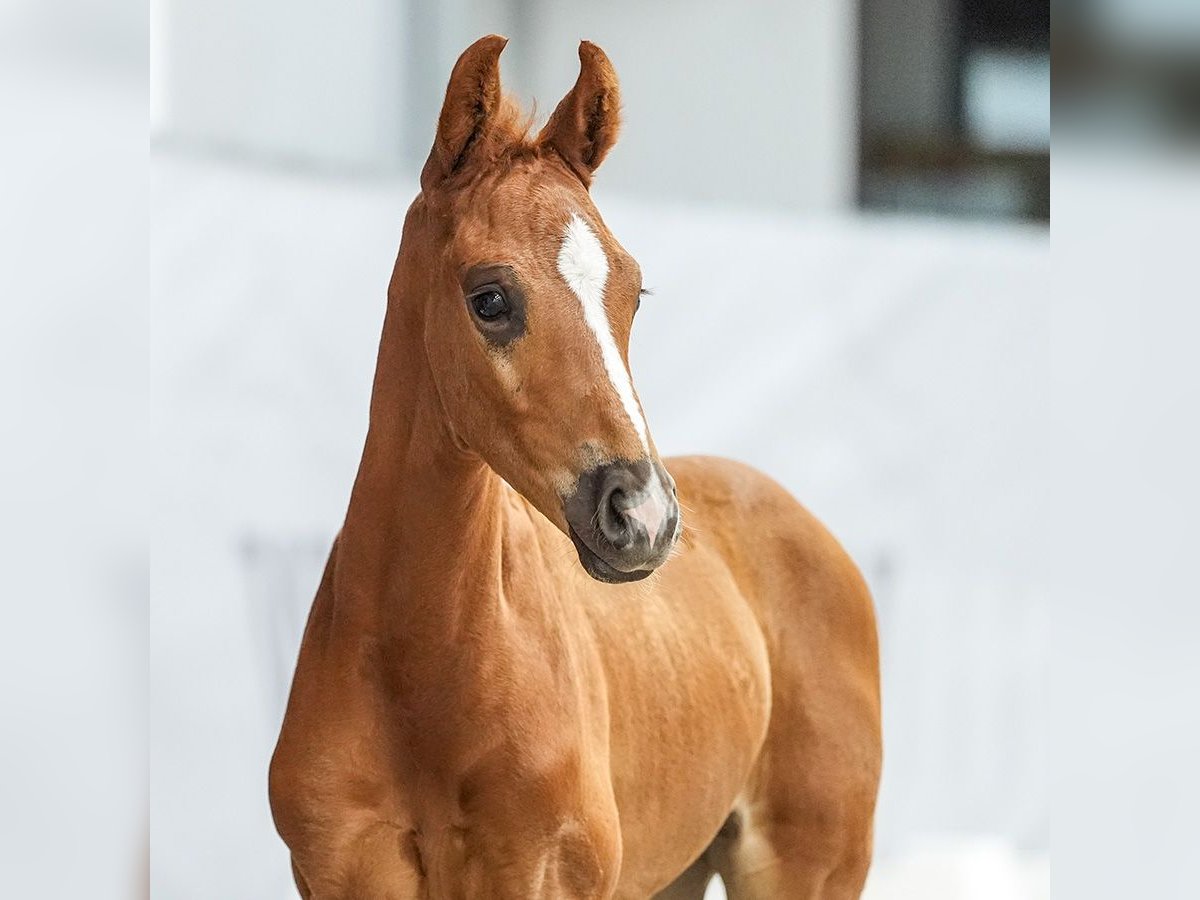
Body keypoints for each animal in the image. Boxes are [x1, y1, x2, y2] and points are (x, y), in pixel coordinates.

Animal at [267, 37, 878, 900]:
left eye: (633, 291)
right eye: (490, 298)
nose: (644, 515)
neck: (420, 672)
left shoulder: (540, 870)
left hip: (809, 866)